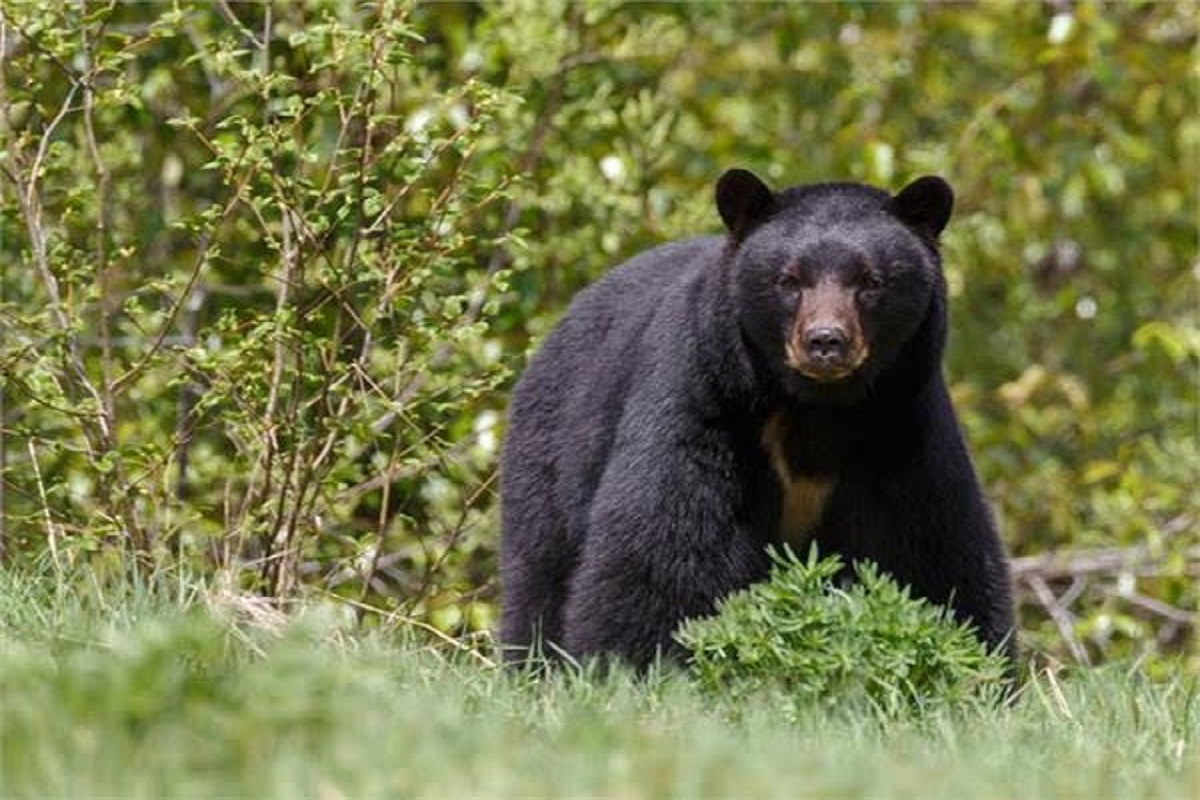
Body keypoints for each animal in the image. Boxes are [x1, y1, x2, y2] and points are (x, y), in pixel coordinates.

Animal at [496, 170, 1012, 671]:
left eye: (870, 281)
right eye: (789, 280)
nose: (826, 341)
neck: (816, 407)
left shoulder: (901, 425)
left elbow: (932, 550)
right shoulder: (706, 400)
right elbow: (666, 543)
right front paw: (631, 666)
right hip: (553, 446)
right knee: (541, 570)